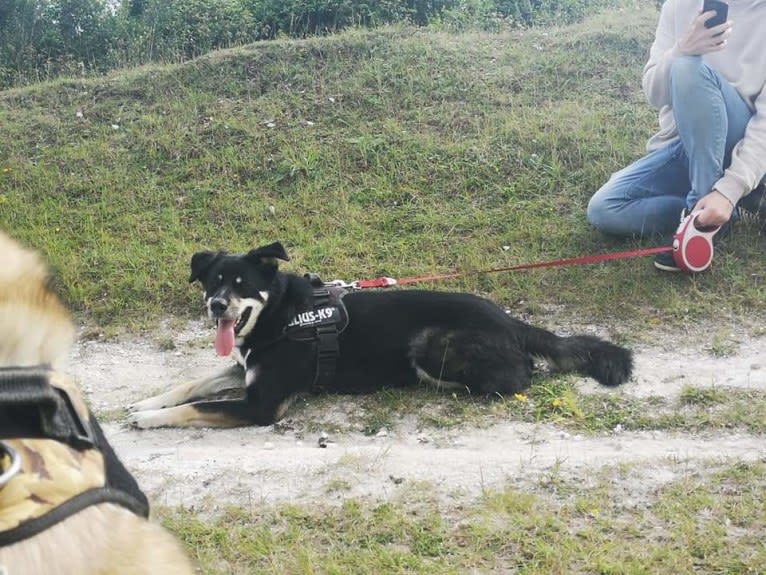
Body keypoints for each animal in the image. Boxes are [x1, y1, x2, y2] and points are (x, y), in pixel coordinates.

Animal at [127, 241, 636, 430]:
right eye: (213, 282)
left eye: (241, 285)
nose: (216, 305)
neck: (278, 317)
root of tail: (509, 320)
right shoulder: (243, 370)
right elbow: (192, 385)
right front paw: (146, 403)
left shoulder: (262, 405)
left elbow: (196, 406)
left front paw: (148, 420)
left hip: (431, 345)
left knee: (519, 374)